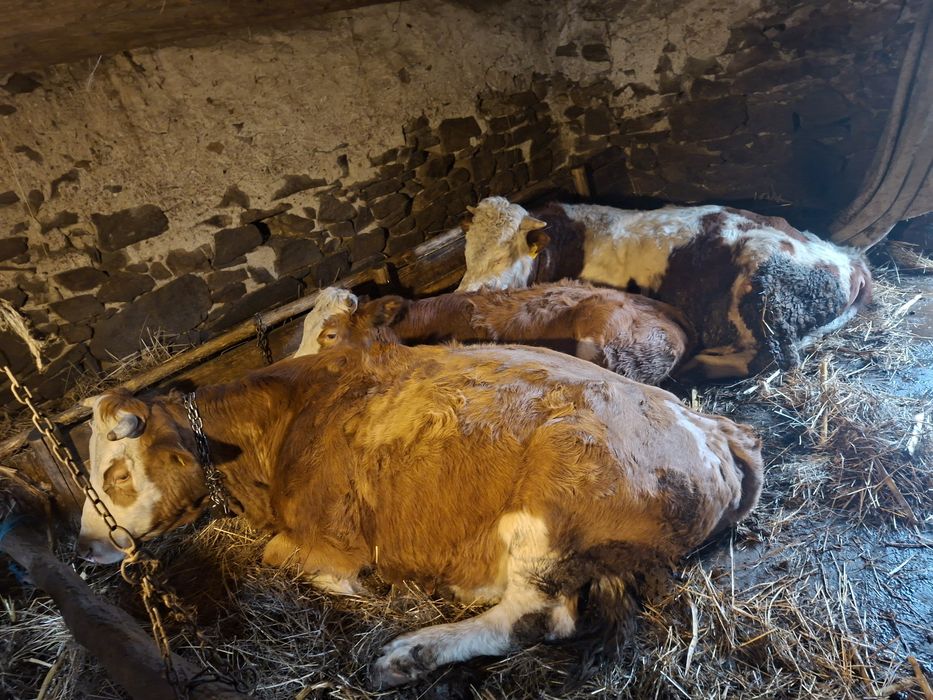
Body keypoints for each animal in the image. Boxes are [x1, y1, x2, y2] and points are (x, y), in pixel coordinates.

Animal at [77, 328, 763, 687]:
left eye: (117, 473)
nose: (83, 546)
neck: (287, 419)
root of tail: (717, 430)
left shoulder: (331, 540)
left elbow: (286, 561)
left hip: (552, 500)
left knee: (536, 617)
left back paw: (410, 653)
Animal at [456, 196, 873, 378]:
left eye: (506, 253)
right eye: (467, 249)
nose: (465, 292)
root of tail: (849, 259)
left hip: (763, 288)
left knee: (774, 356)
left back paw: (701, 364)